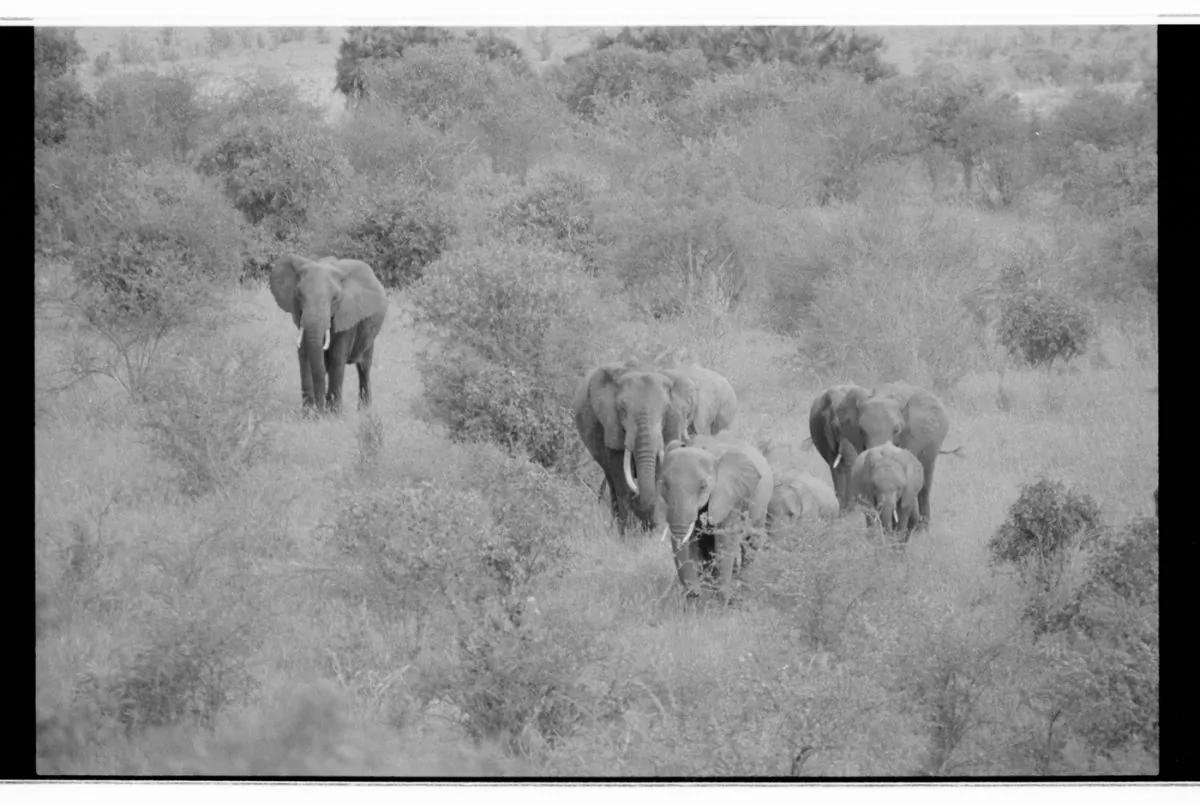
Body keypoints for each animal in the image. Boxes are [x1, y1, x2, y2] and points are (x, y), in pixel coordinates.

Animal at [269, 255, 388, 413]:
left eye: (335, 298)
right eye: (299, 294)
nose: (319, 409)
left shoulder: (347, 316)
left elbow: (337, 358)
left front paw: (333, 414)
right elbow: (304, 355)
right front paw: (308, 413)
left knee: (364, 367)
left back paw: (364, 411)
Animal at [574, 360, 737, 533]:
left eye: (666, 411)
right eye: (622, 409)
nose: (637, 497)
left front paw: (654, 532)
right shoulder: (610, 426)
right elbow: (620, 474)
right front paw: (629, 533)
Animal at [656, 433, 773, 600]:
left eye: (703, 486)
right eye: (664, 485)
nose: (694, 594)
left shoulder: (730, 495)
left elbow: (725, 539)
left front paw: (722, 600)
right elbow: (693, 542)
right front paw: (699, 598)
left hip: (762, 502)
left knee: (752, 541)